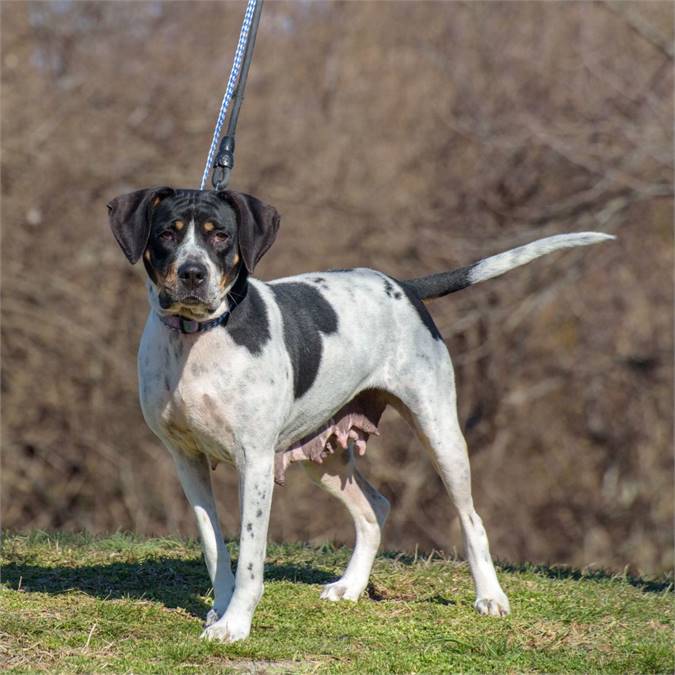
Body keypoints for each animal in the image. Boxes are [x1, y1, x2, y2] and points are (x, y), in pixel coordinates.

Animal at [108, 187, 616, 640]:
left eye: (221, 236)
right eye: (167, 233)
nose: (192, 274)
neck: (199, 339)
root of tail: (405, 287)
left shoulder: (254, 463)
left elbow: (251, 554)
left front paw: (235, 624)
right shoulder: (187, 460)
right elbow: (215, 546)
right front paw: (220, 607)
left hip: (440, 434)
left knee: (471, 519)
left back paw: (490, 596)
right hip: (323, 455)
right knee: (376, 507)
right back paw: (350, 586)